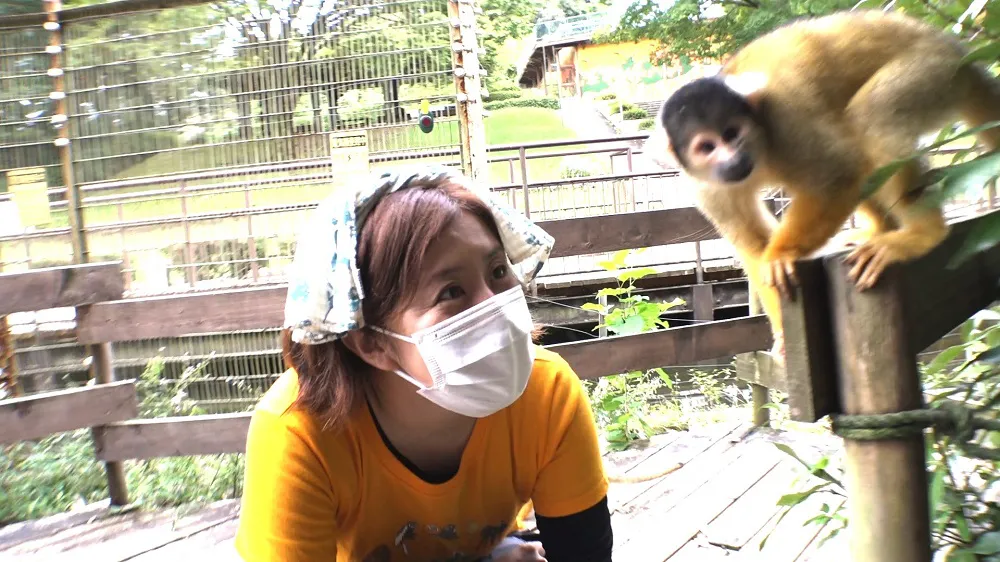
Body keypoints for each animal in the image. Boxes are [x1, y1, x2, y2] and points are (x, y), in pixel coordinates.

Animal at [656, 9, 1000, 358]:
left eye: (731, 133)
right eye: (707, 147)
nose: (733, 159)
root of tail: (955, 49)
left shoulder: (785, 119)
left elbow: (840, 173)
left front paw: (781, 254)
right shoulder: (705, 187)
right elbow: (752, 244)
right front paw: (783, 332)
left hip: (937, 71)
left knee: (869, 118)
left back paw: (922, 234)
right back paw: (881, 229)